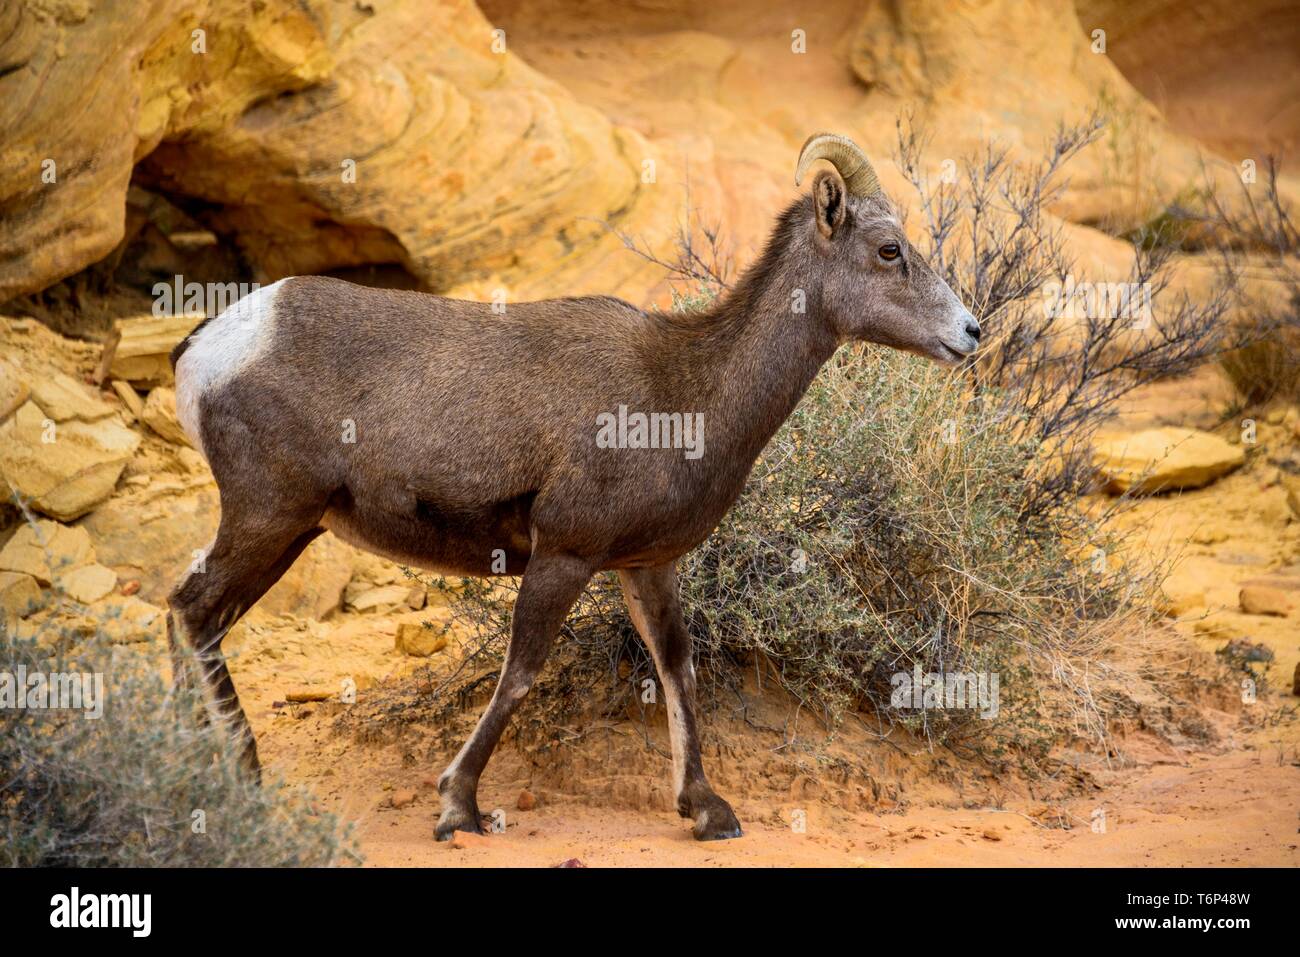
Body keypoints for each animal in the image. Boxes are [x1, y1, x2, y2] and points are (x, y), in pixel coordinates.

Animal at [165, 132, 977, 837]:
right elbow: (521, 672)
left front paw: (706, 810)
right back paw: (241, 775)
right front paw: (459, 807)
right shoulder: (563, 555)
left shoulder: (645, 565)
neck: (684, 392)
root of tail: (207, 346)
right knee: (194, 611)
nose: (970, 332)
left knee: (188, 614)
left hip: (286, 529)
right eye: (889, 250)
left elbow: (678, 668)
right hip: (270, 517)